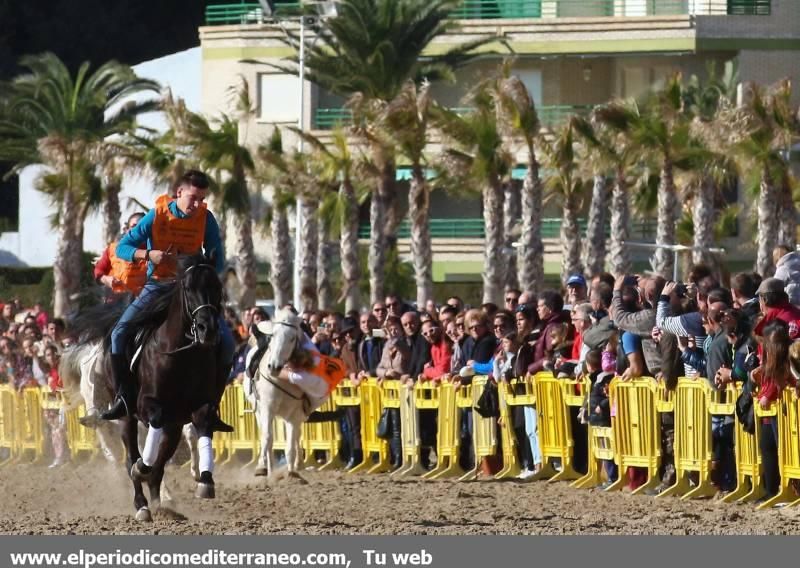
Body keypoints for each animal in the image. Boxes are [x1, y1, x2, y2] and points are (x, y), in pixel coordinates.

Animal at [69, 255, 225, 520]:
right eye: (188, 288)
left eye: (217, 286)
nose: (208, 329)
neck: (181, 355)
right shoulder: (147, 405)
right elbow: (149, 435)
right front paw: (142, 469)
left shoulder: (198, 407)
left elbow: (202, 424)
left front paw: (205, 480)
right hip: (125, 417)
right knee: (129, 456)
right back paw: (142, 502)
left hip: (172, 425)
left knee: (160, 461)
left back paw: (162, 502)